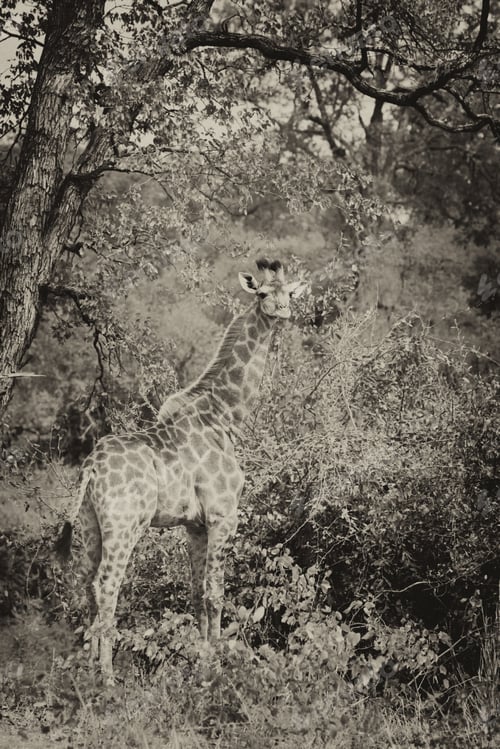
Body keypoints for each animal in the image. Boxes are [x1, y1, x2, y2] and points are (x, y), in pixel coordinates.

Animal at [56, 258, 306, 684]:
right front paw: (216, 665)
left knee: (86, 583)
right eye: (261, 293)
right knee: (107, 584)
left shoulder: (195, 524)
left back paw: (86, 671)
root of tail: (90, 467)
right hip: (126, 524)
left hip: (89, 522)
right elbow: (215, 593)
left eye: (288, 292)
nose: (282, 311)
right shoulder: (224, 515)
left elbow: (195, 593)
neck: (224, 418)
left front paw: (200, 660)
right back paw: (107, 677)